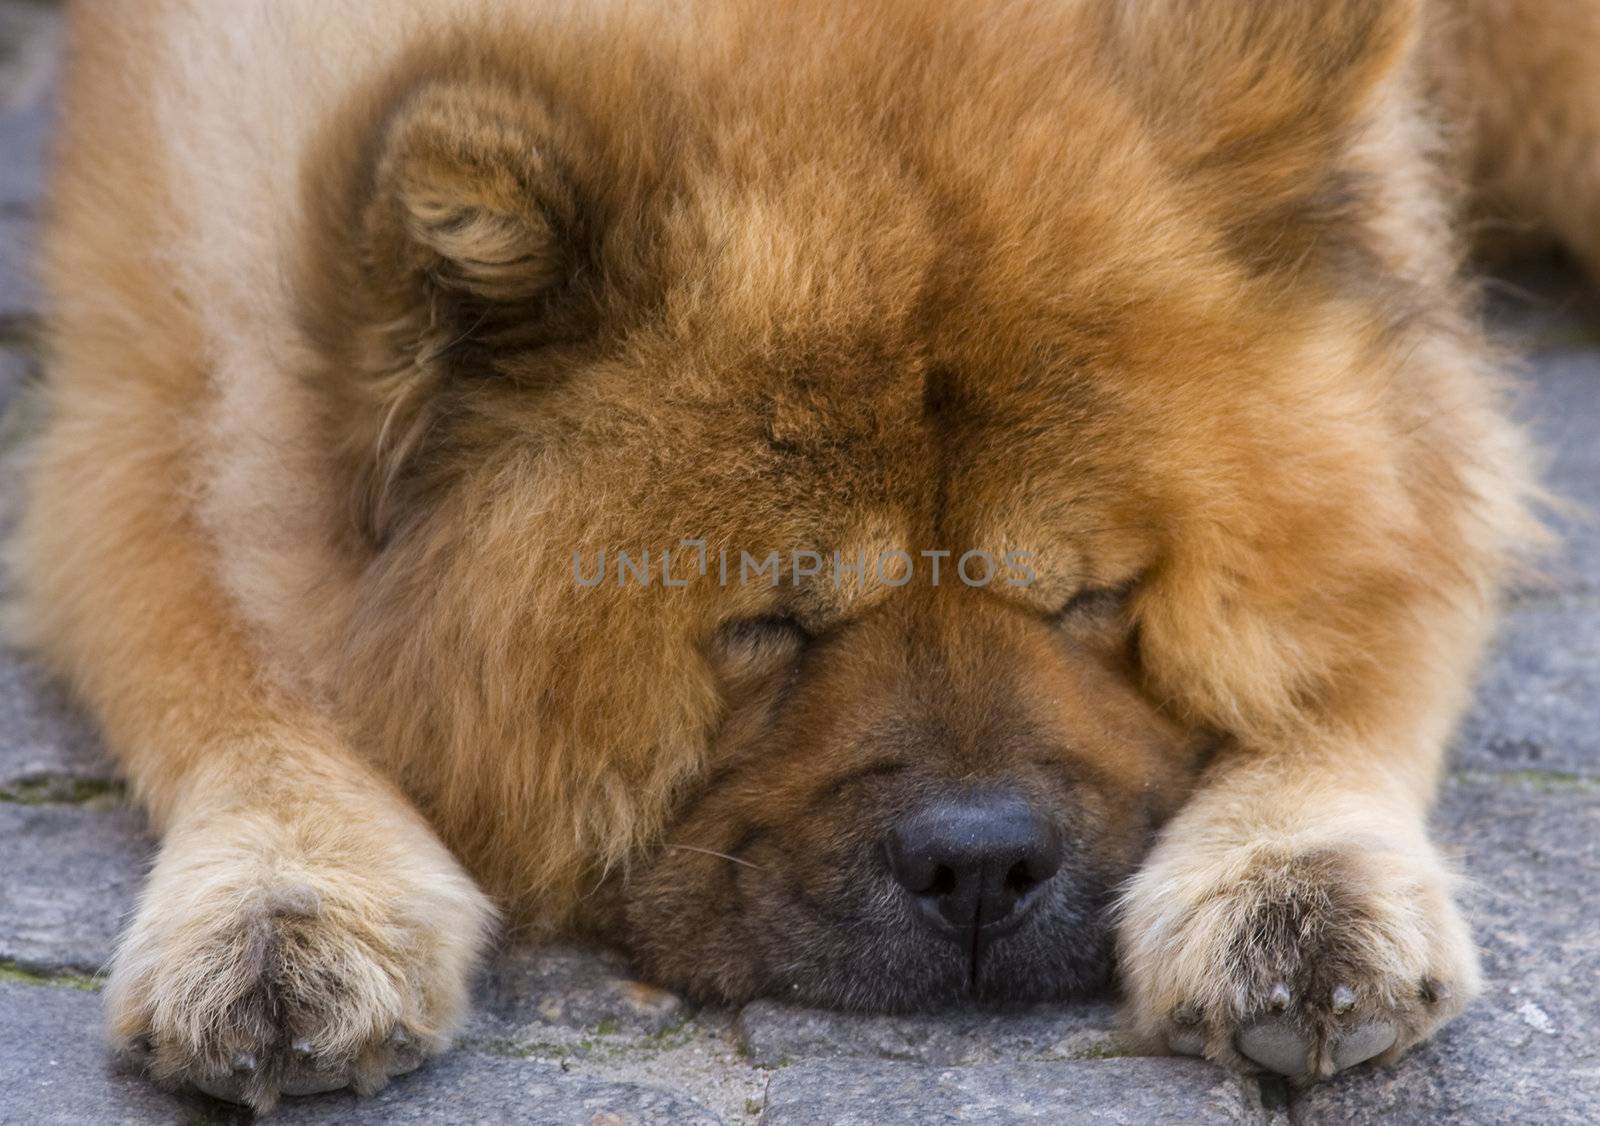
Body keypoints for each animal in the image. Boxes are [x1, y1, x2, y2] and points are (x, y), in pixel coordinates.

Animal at [9, 0, 1587, 1113]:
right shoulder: (149, 398)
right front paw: (285, 898)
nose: (981, 864)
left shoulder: (1421, 412)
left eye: (1090, 599)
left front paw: (1296, 880)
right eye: (768, 626)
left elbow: (1362, 636)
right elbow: (227, 664)